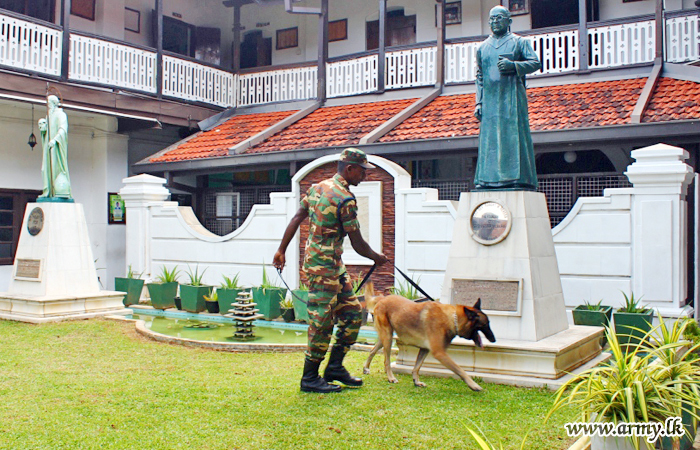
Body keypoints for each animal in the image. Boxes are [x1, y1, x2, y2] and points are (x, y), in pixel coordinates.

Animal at [364, 282, 494, 390]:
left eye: (488, 323)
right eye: (485, 325)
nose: (493, 339)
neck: (452, 318)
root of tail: (383, 298)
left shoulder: (424, 349)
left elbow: (417, 367)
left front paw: (416, 381)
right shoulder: (440, 353)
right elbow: (460, 370)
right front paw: (473, 385)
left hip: (385, 337)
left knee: (372, 350)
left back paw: (366, 368)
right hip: (388, 337)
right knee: (386, 361)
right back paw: (391, 377)